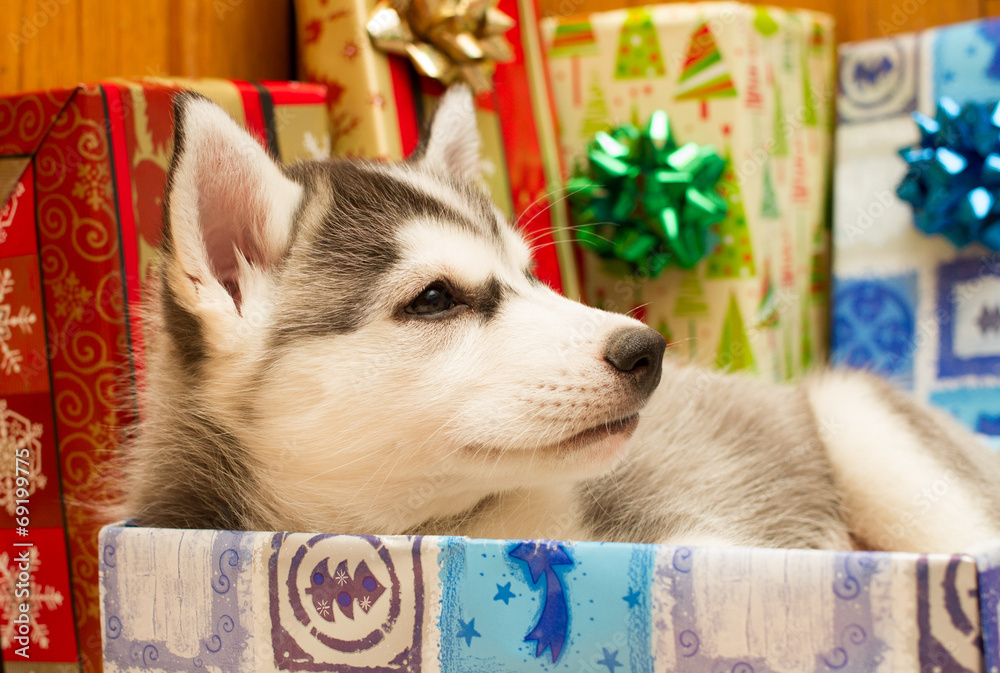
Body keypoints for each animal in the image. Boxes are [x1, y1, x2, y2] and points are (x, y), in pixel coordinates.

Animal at [123, 86, 1000, 554]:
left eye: (528, 273)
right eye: (434, 298)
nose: (648, 349)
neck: (450, 529)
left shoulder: (700, 536)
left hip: (865, 429)